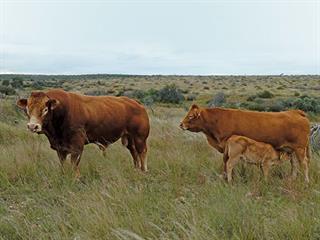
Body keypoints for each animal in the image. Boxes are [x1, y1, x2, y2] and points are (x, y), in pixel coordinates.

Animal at [18, 89, 151, 177]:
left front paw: (76, 178)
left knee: (142, 152)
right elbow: (62, 162)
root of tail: (137, 103)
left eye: (45, 109)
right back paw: (136, 169)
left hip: (140, 137)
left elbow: (74, 163)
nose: (32, 126)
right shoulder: (60, 147)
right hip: (129, 138)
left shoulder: (77, 145)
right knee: (134, 152)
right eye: (27, 109)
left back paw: (144, 170)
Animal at [181, 104, 312, 182]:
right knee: (294, 164)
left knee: (304, 164)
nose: (181, 124)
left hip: (300, 149)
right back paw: (292, 179)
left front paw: (228, 178)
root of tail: (295, 112)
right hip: (291, 149)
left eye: (191, 116)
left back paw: (306, 181)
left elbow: (226, 164)